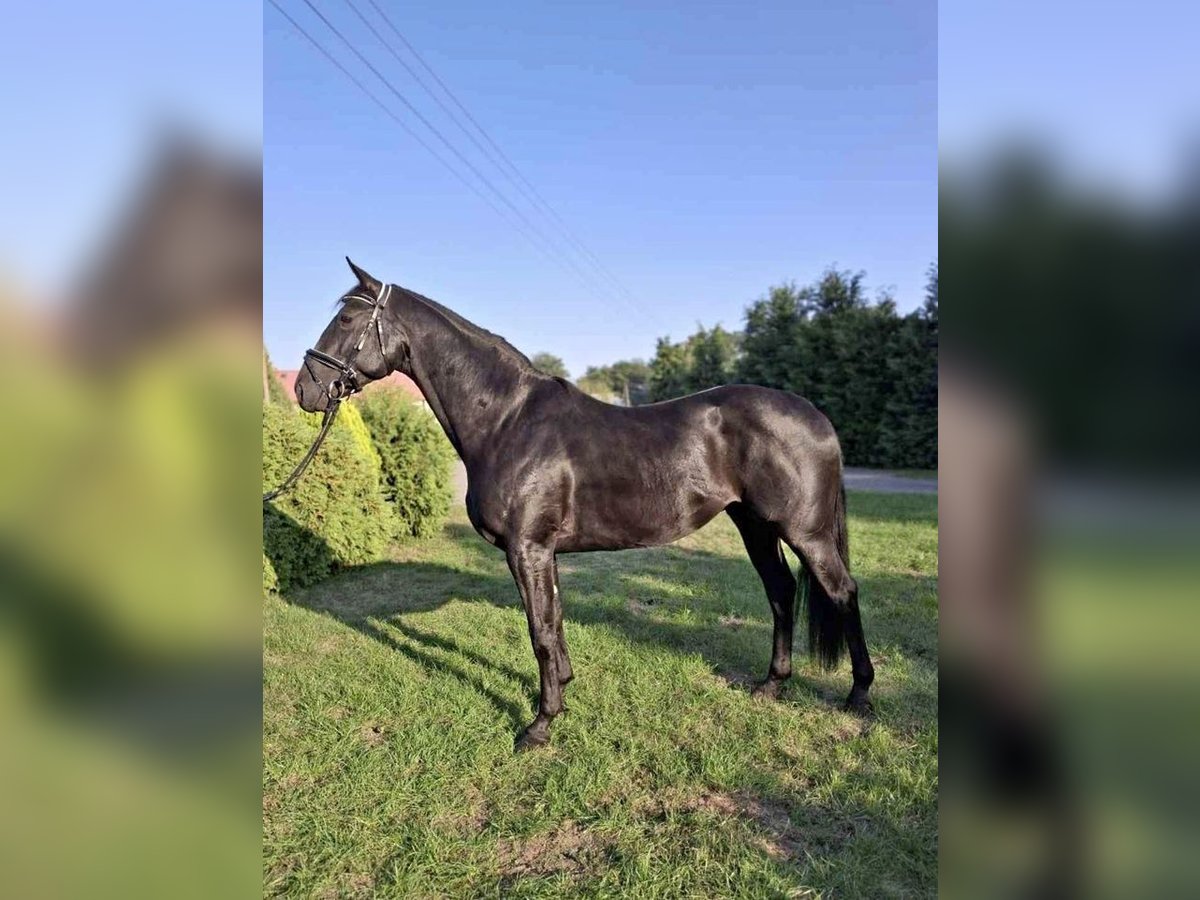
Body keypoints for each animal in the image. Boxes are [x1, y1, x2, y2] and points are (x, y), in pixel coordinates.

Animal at [290, 262, 873, 753]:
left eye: (346, 318)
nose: (304, 391)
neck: (507, 420)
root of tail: (816, 416)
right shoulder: (542, 552)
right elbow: (554, 621)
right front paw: (562, 693)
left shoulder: (527, 549)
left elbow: (540, 633)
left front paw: (540, 725)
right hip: (755, 525)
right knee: (781, 591)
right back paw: (772, 686)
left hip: (805, 532)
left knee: (841, 592)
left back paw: (859, 696)